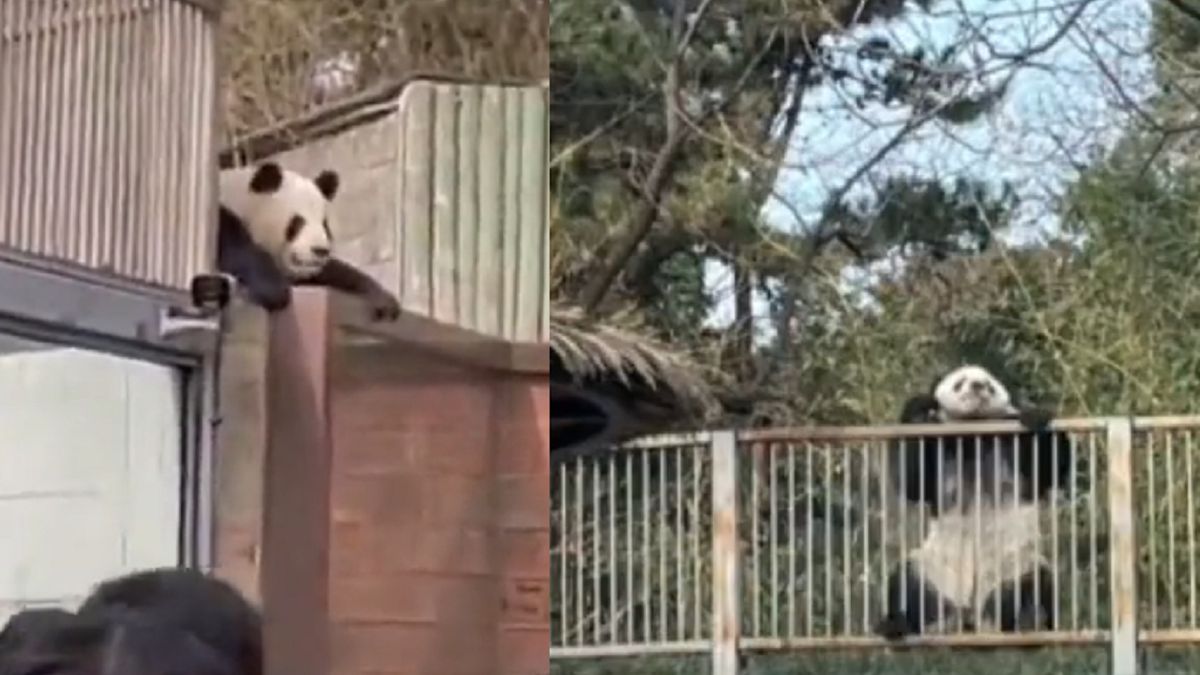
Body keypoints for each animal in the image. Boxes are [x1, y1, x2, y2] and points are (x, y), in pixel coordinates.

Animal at [217, 161, 401, 321]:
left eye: (324, 224)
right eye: (298, 222)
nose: (320, 251)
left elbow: (331, 272)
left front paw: (383, 300)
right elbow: (232, 243)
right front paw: (271, 290)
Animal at [874, 364, 1076, 640]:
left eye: (990, 384)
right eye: (960, 382)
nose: (979, 387)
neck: (972, 433)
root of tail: (971, 617)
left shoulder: (1007, 445)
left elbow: (1050, 469)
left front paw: (1035, 416)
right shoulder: (943, 449)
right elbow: (913, 481)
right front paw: (920, 411)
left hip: (1011, 566)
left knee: (1034, 580)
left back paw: (1030, 619)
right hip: (937, 570)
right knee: (908, 579)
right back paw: (901, 624)